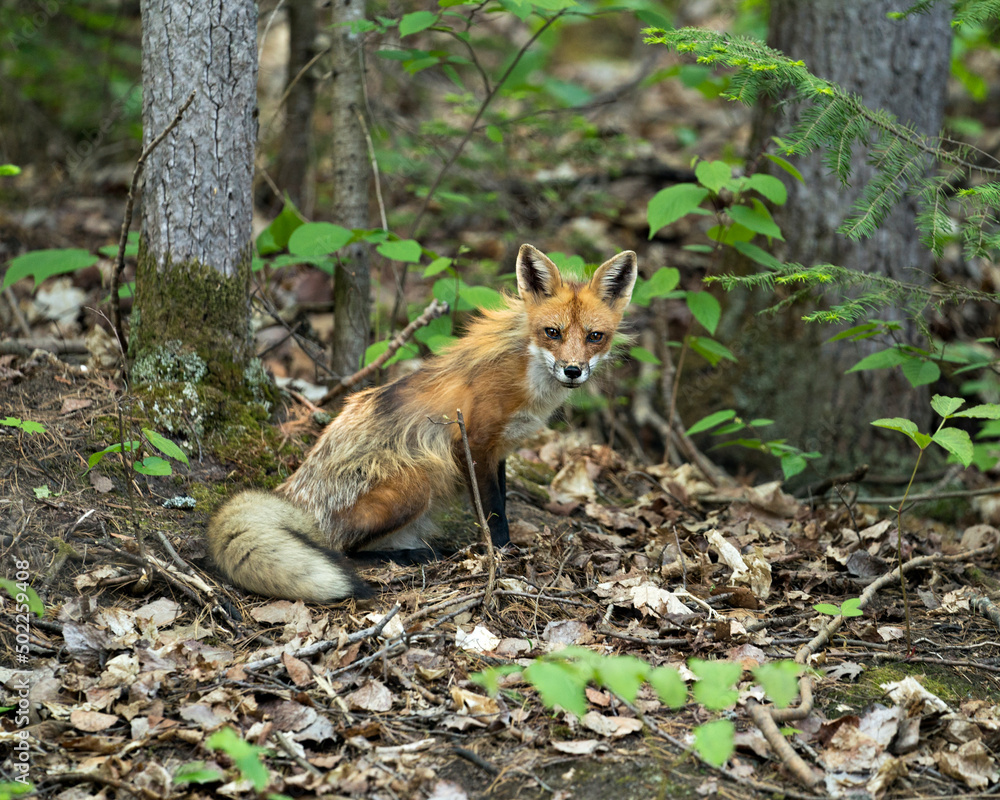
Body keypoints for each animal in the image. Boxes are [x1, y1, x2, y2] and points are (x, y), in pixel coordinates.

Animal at [207, 243, 638, 602]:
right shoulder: (473, 442)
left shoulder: (498, 450)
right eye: (553, 332)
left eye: (595, 336)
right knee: (340, 549)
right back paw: (410, 556)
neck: (525, 374)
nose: (572, 371)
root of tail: (295, 495)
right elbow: (493, 512)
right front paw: (501, 554)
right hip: (417, 481)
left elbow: (499, 500)